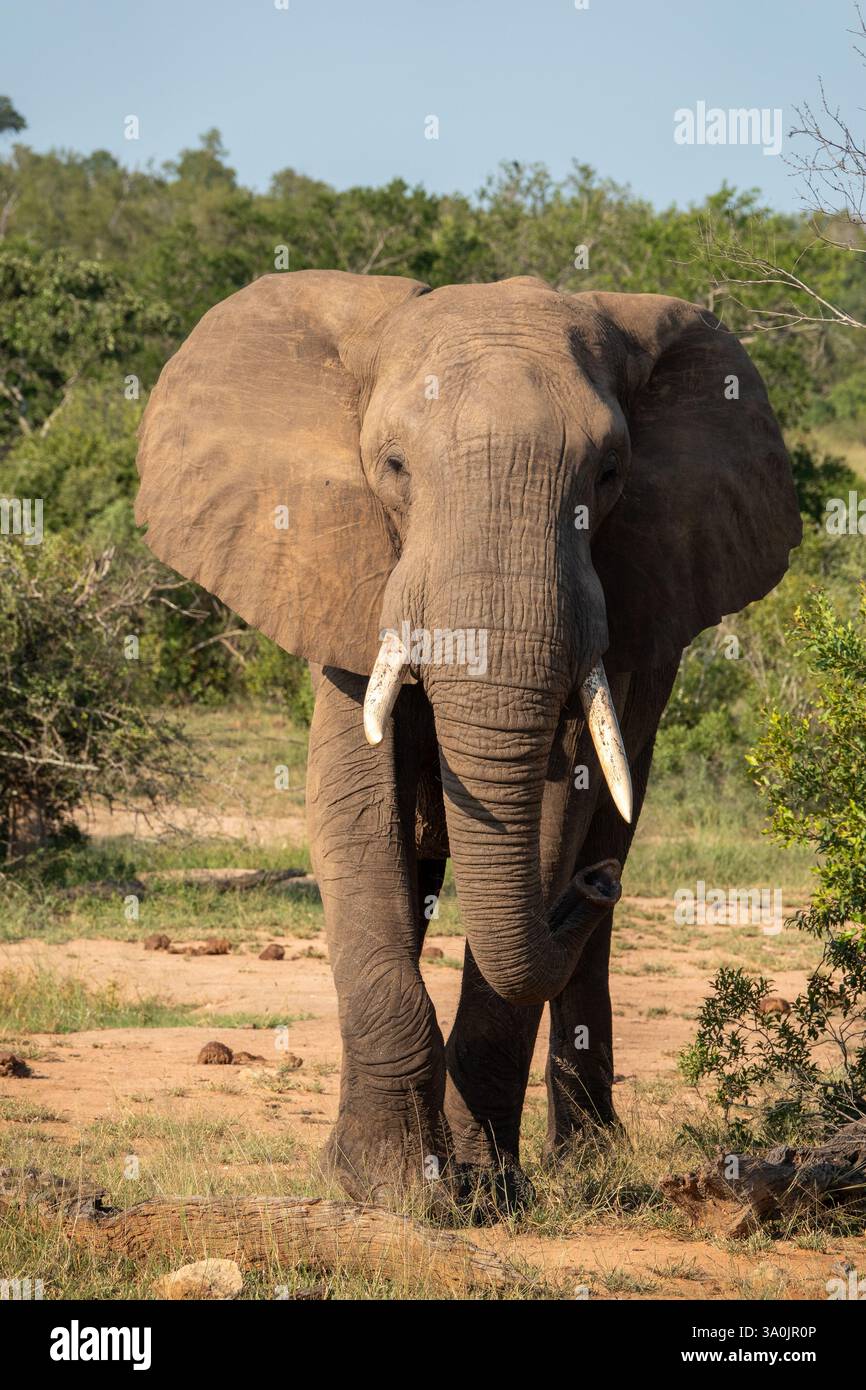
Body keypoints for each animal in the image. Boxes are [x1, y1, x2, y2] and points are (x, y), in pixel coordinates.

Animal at [134, 270, 802, 1213]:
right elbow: (352, 807)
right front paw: (385, 1186)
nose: (599, 882)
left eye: (610, 474)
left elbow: (557, 820)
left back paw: (584, 1161)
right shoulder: (349, 576)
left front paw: (485, 1189)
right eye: (393, 467)